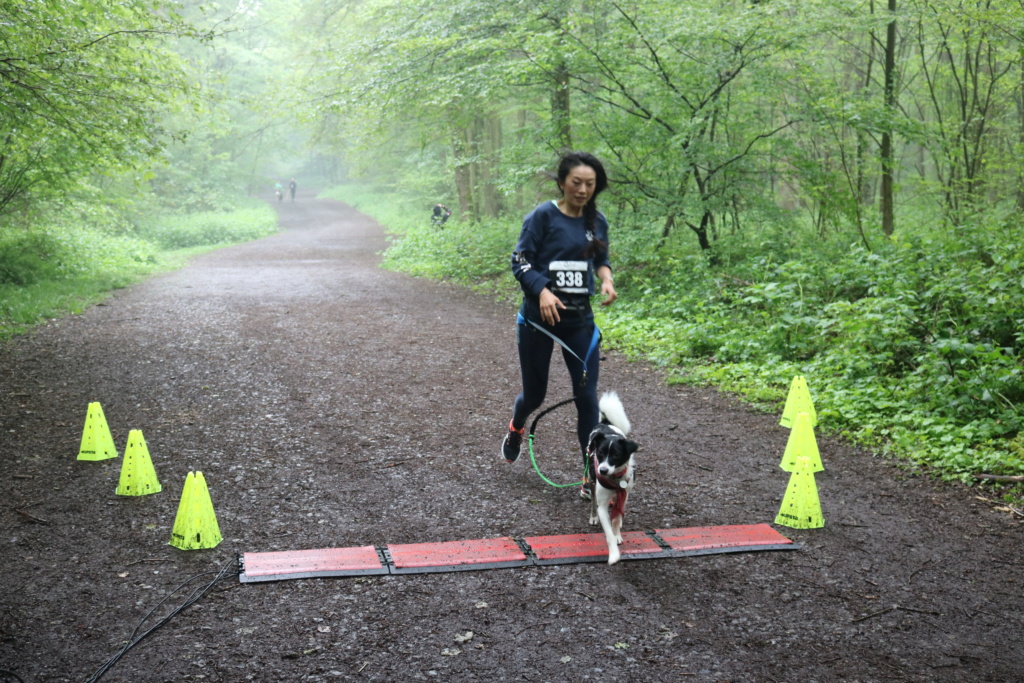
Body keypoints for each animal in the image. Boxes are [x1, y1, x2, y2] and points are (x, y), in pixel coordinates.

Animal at [589, 393, 634, 565]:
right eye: (600, 452)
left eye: (616, 455)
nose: (602, 470)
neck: (615, 478)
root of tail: (605, 423)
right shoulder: (602, 505)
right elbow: (607, 531)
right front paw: (614, 554)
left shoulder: (624, 493)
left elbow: (615, 519)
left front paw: (617, 534)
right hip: (591, 481)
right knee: (593, 500)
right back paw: (593, 516)